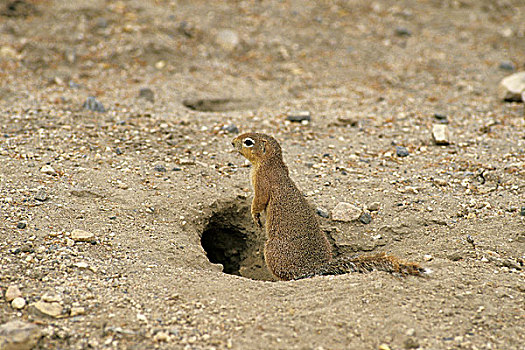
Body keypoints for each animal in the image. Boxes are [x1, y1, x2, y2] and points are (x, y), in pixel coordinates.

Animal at [231, 133, 424, 280]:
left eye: (248, 142)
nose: (232, 142)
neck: (271, 163)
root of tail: (316, 268)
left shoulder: (262, 183)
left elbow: (259, 201)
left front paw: (255, 217)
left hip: (271, 250)